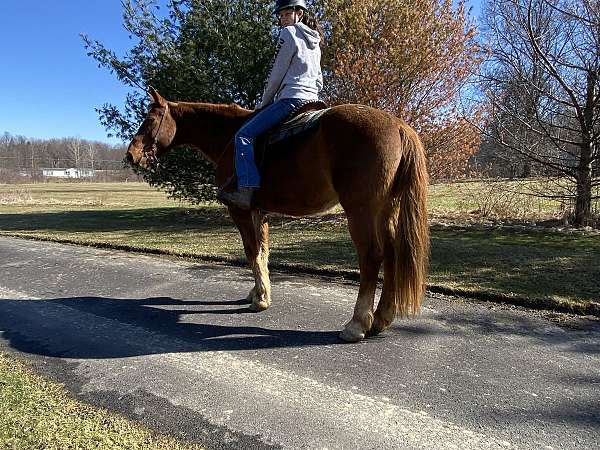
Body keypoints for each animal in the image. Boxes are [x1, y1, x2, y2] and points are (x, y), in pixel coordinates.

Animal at [126, 87, 428, 342]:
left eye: (150, 119)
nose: (131, 155)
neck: (229, 136)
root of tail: (398, 125)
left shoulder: (239, 210)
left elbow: (251, 252)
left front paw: (261, 299)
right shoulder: (259, 212)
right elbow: (263, 252)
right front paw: (257, 292)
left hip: (361, 211)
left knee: (371, 257)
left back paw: (357, 324)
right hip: (386, 210)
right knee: (391, 253)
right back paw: (380, 319)